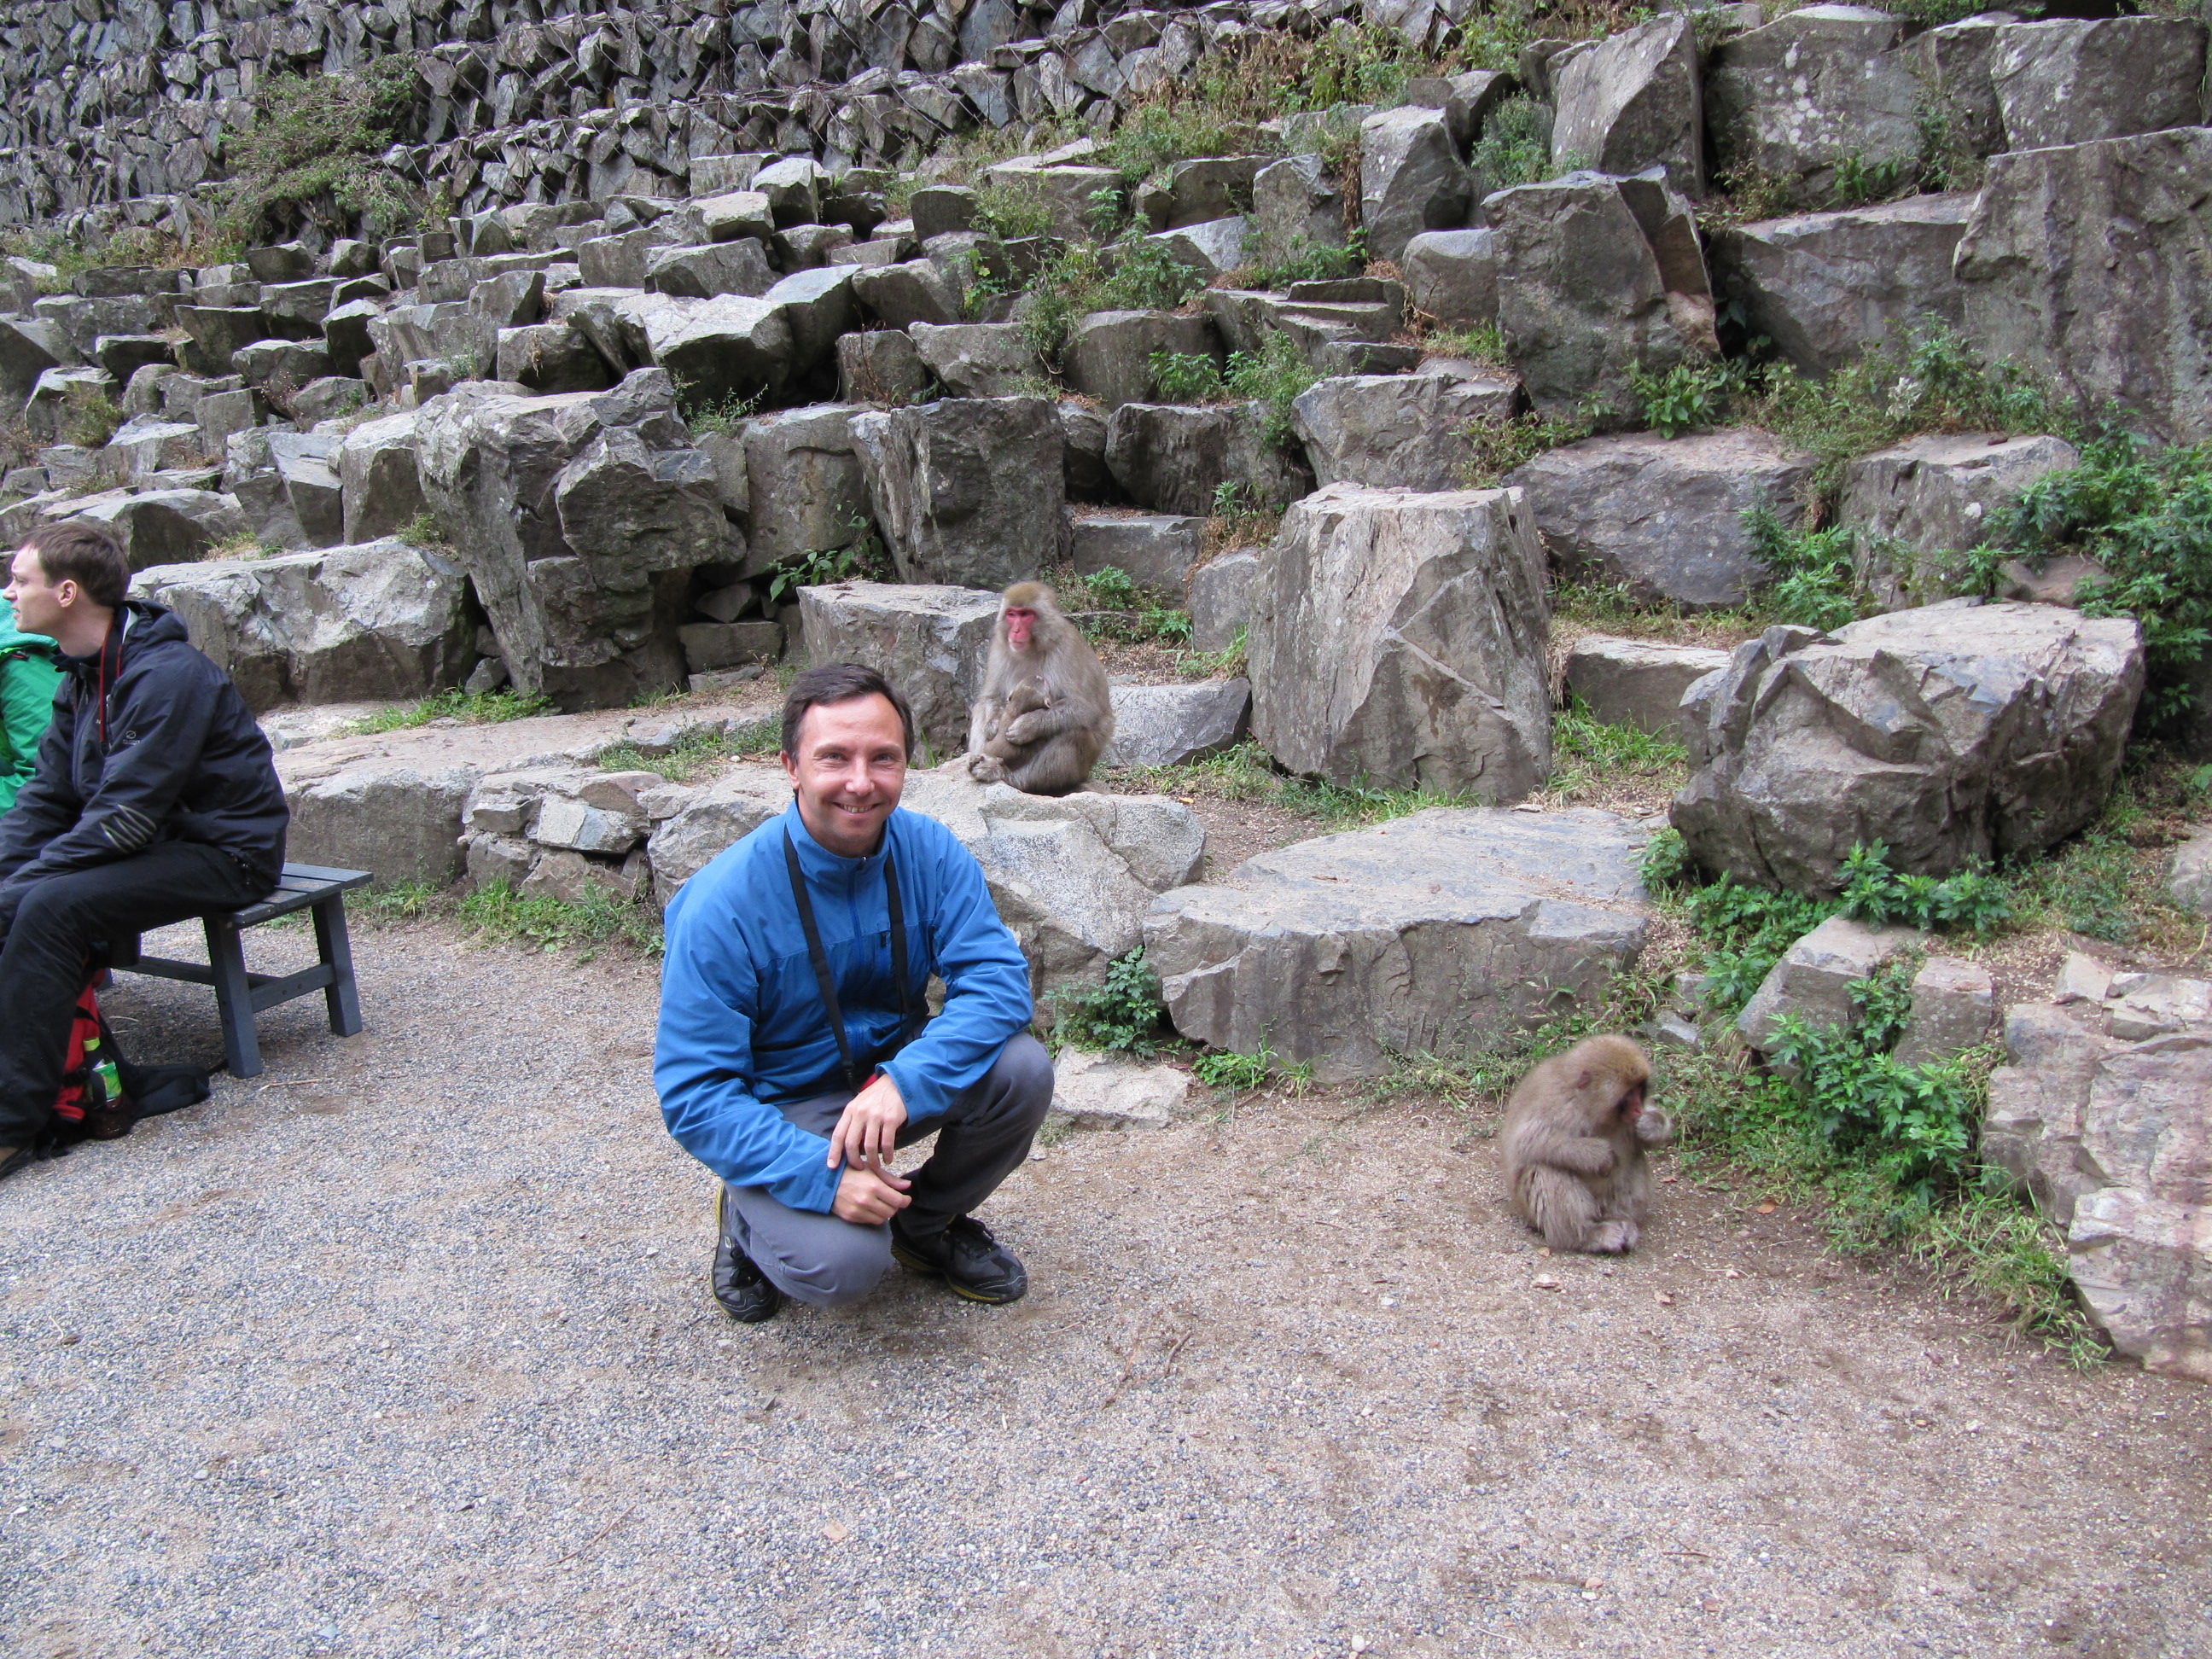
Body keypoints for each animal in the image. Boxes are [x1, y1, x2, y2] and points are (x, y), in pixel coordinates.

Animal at [965, 581, 1114, 796]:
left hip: (1082, 768)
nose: (1015, 631)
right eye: (1012, 614)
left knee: (1074, 731)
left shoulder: (1065, 650)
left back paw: (1007, 776)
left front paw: (1027, 726)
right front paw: (993, 724)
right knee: (980, 709)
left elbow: (1086, 709)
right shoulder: (999, 648)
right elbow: (990, 698)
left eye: (1026, 614)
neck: (1032, 648)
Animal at [1500, 1035, 1674, 1254]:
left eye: (1639, 1089)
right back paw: (1586, 1236)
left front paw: (1651, 1124)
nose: (1637, 1109)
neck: (1588, 1106)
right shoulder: (1559, 1105)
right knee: (1546, 1168)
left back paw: (1621, 1220)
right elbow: (1528, 1143)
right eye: (1628, 1095)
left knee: (1636, 1156)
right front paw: (1599, 1155)